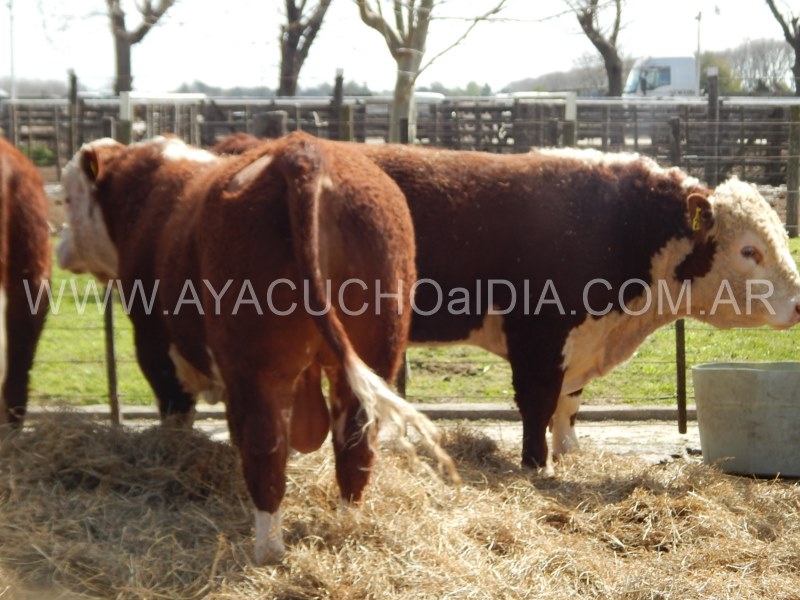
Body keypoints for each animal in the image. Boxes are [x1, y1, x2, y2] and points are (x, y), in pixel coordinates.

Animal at [57, 131, 456, 564]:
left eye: (66, 198)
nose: (60, 246)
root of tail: (302, 154)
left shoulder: (156, 348)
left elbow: (177, 417)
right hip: (373, 356)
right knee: (355, 445)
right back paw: (346, 529)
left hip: (257, 369)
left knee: (264, 451)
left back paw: (267, 549)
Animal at [215, 134, 800, 474]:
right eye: (750, 249)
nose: (798, 305)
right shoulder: (539, 334)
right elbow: (539, 402)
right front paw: (537, 466)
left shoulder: (580, 340)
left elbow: (569, 402)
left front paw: (569, 453)